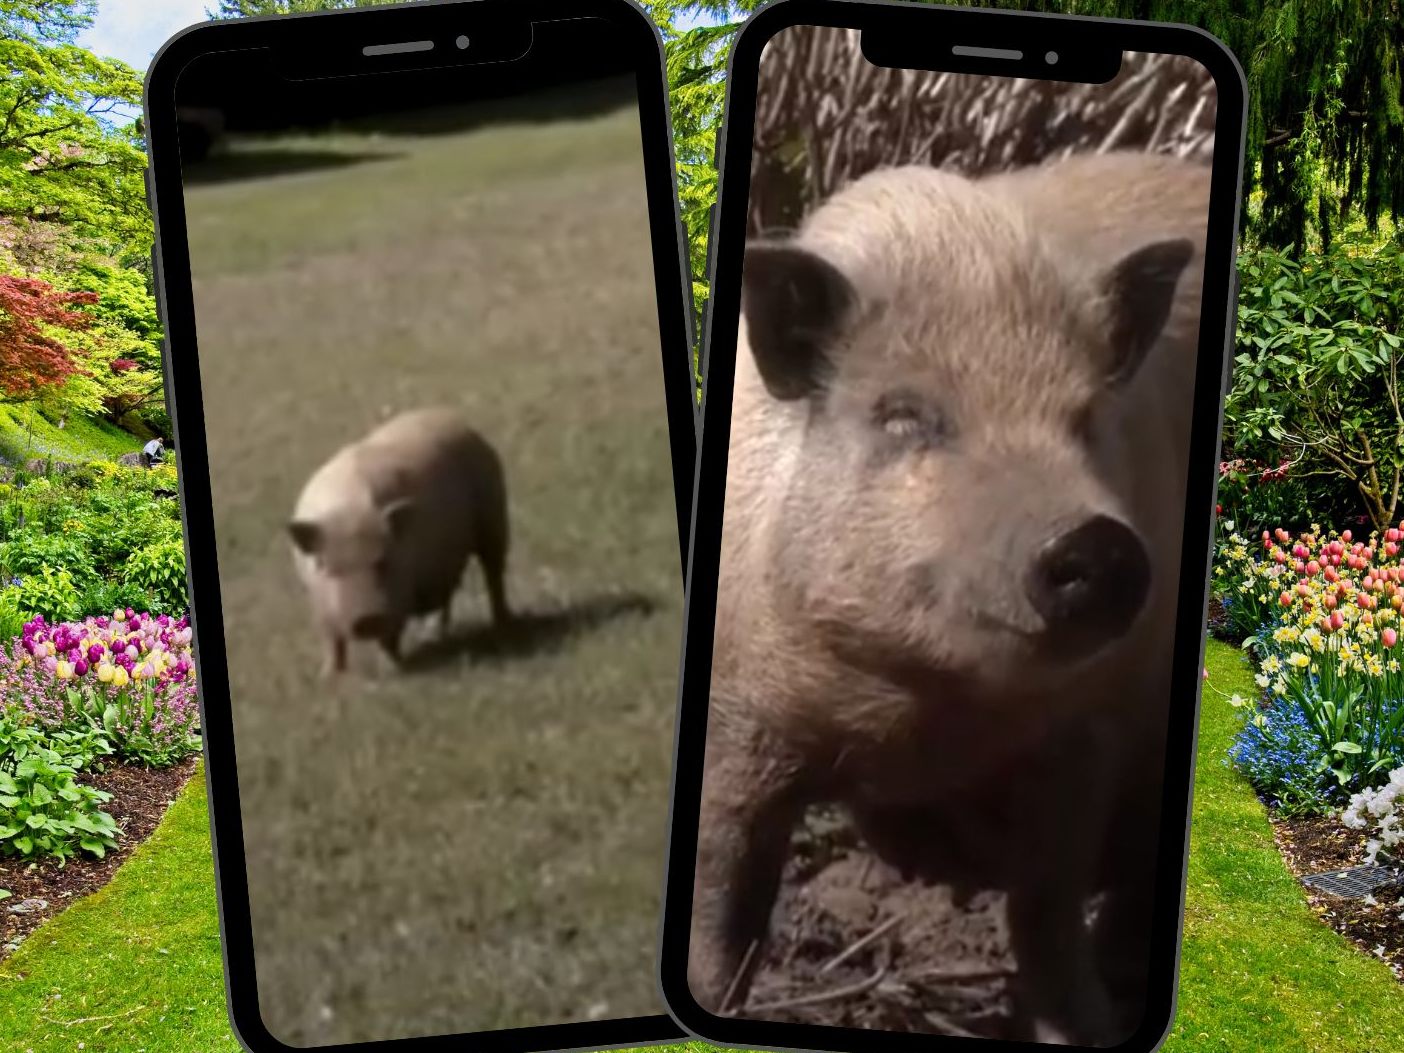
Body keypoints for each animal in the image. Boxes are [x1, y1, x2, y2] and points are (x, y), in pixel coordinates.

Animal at [287, 407, 511, 676]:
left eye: (382, 561)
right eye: (328, 567)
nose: (366, 619)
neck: (349, 509)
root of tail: (461, 423)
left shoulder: (400, 589)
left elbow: (390, 633)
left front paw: (391, 671)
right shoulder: (315, 596)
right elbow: (331, 638)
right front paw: (329, 676)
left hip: (494, 516)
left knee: (493, 572)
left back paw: (502, 625)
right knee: (447, 591)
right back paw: (433, 637)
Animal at [688, 150, 1210, 1046]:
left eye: (1085, 420)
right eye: (904, 416)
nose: (1096, 541)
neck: (923, 724)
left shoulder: (1092, 732)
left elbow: (1046, 910)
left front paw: (1085, 1028)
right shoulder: (736, 714)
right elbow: (725, 906)